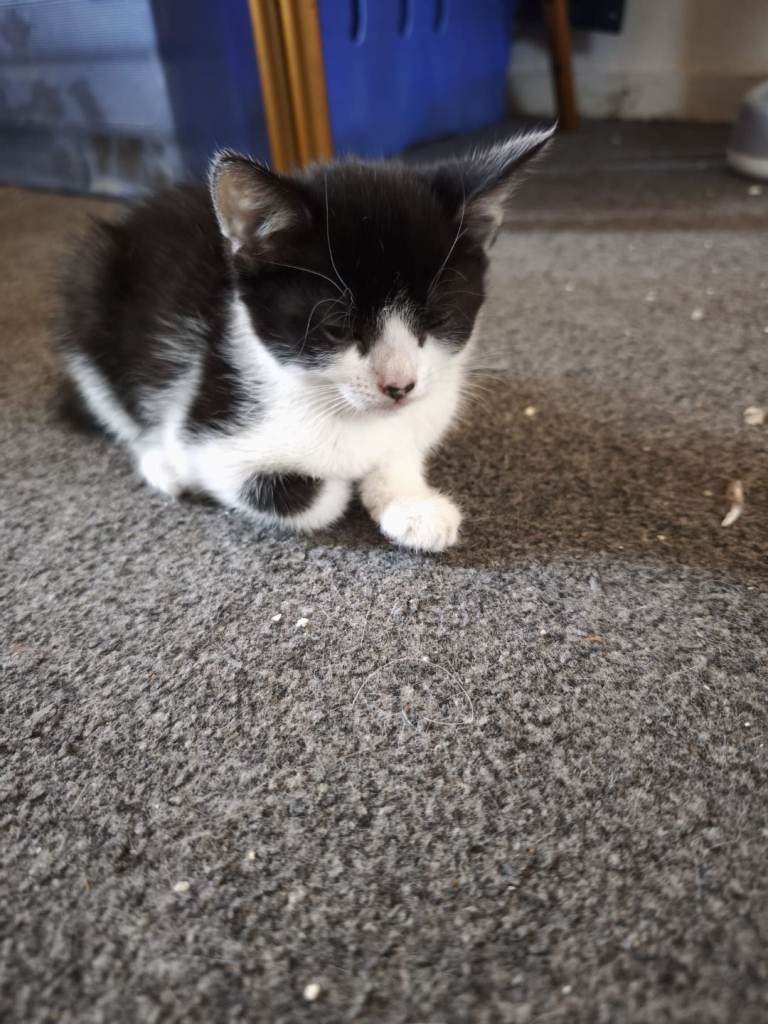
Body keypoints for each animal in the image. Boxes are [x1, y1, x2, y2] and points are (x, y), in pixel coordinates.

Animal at [56, 127, 553, 552]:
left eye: (439, 319)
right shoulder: (212, 430)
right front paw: (347, 485)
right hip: (89, 289)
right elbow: (315, 498)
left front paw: (411, 504)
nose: (399, 386)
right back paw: (162, 463)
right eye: (335, 328)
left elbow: (398, 451)